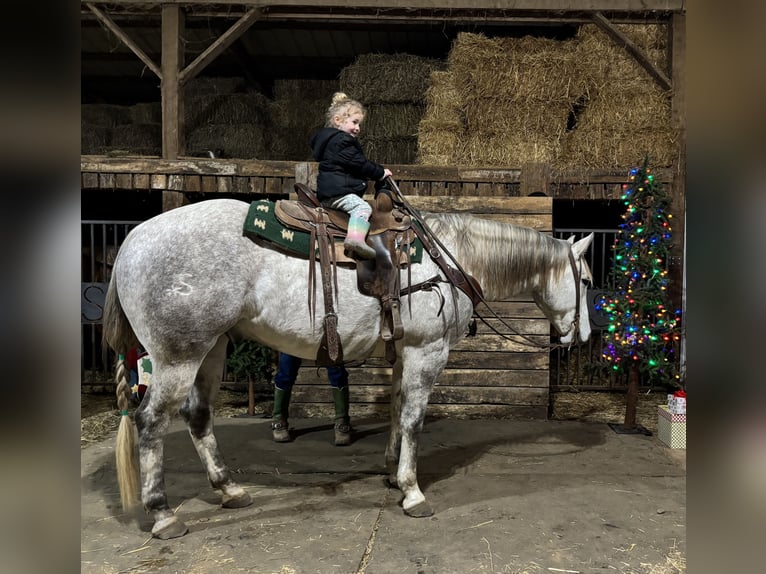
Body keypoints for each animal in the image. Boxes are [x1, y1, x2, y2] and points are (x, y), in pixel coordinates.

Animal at [103, 199, 592, 540]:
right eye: (586, 280)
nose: (583, 335)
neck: (450, 259)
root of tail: (132, 241)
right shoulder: (427, 351)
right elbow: (414, 420)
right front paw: (412, 491)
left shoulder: (405, 352)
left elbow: (397, 411)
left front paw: (392, 472)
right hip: (178, 356)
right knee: (151, 421)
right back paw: (163, 513)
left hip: (211, 350)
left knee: (198, 416)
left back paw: (230, 490)